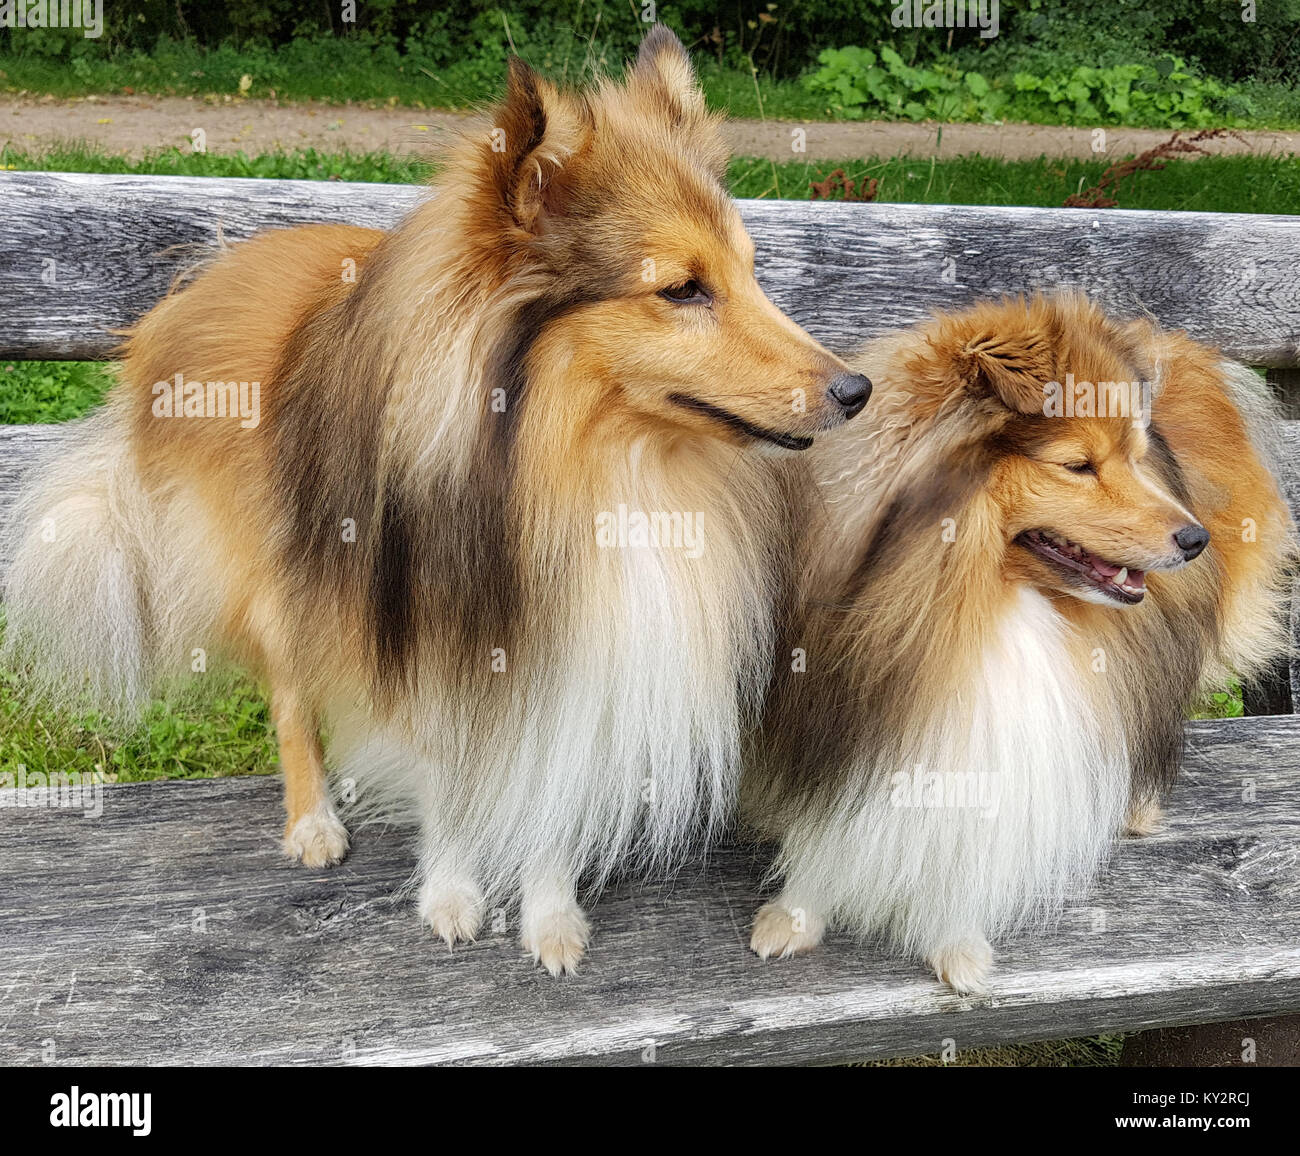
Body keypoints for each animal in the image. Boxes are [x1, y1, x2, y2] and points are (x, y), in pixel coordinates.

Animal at [5, 26, 873, 972]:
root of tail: (214, 271)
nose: (857, 391)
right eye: (682, 289)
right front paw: (451, 895)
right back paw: (312, 821)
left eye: (752, 273)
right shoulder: (430, 623)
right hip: (276, 571)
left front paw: (549, 915)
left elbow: (552, 785)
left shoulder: (578, 646)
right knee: (289, 695)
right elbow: (447, 784)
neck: (591, 467)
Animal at [748, 292, 1294, 988]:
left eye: (1133, 457)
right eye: (1078, 465)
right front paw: (793, 918)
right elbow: (826, 825)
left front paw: (955, 946)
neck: (981, 600)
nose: (1196, 539)